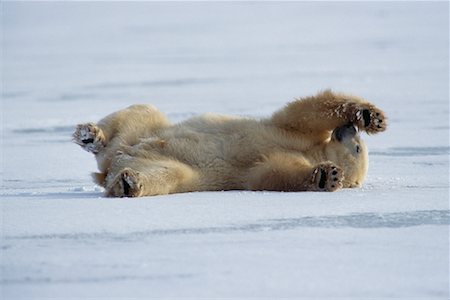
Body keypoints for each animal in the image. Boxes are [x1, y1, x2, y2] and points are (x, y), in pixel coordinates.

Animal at [74, 89, 386, 197]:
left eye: (358, 148)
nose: (349, 129)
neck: (312, 150)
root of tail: (108, 166)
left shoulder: (272, 162)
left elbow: (271, 172)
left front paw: (327, 175)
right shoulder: (290, 133)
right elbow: (303, 114)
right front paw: (369, 116)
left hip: (162, 163)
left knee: (167, 175)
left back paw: (128, 184)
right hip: (144, 132)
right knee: (140, 111)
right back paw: (90, 135)